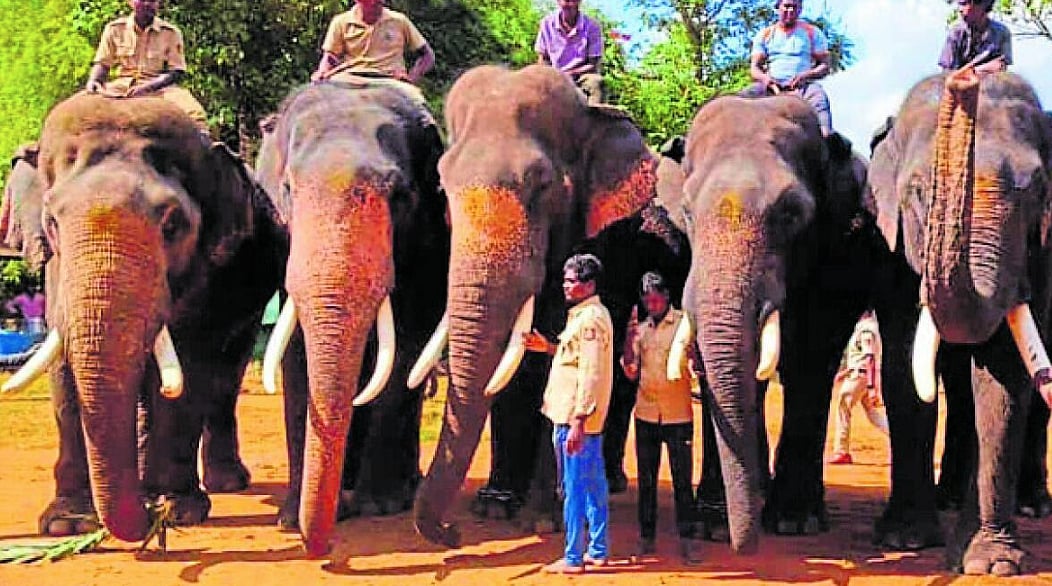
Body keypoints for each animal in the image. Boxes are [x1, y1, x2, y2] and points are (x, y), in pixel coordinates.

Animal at [0, 93, 285, 542]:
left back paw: (223, 483)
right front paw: (67, 524)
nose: (151, 519)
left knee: (226, 372)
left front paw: (177, 510)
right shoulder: (56, 271)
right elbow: (63, 370)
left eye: (172, 224)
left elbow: (190, 363)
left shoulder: (208, 273)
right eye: (52, 222)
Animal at [254, 81, 448, 557]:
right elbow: (297, 355)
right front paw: (290, 520)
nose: (321, 547)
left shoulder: (428, 242)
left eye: (401, 196)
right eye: (287, 189)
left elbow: (406, 347)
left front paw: (380, 508)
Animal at [408, 64, 661, 547]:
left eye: (542, 186)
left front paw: (542, 520)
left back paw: (606, 483)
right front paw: (495, 508)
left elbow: (556, 362)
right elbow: (513, 368)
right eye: (443, 186)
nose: (452, 532)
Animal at [657, 93, 876, 553]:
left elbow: (813, 355)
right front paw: (714, 527)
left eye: (792, 213)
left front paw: (793, 522)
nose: (744, 547)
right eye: (686, 211)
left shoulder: (841, 249)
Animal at [867, 70, 1052, 575]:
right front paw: (908, 539)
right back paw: (946, 498)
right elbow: (902, 367)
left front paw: (991, 564)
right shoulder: (896, 251)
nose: (965, 78)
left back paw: (1033, 505)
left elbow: (1004, 376)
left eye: (1039, 190)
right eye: (917, 191)